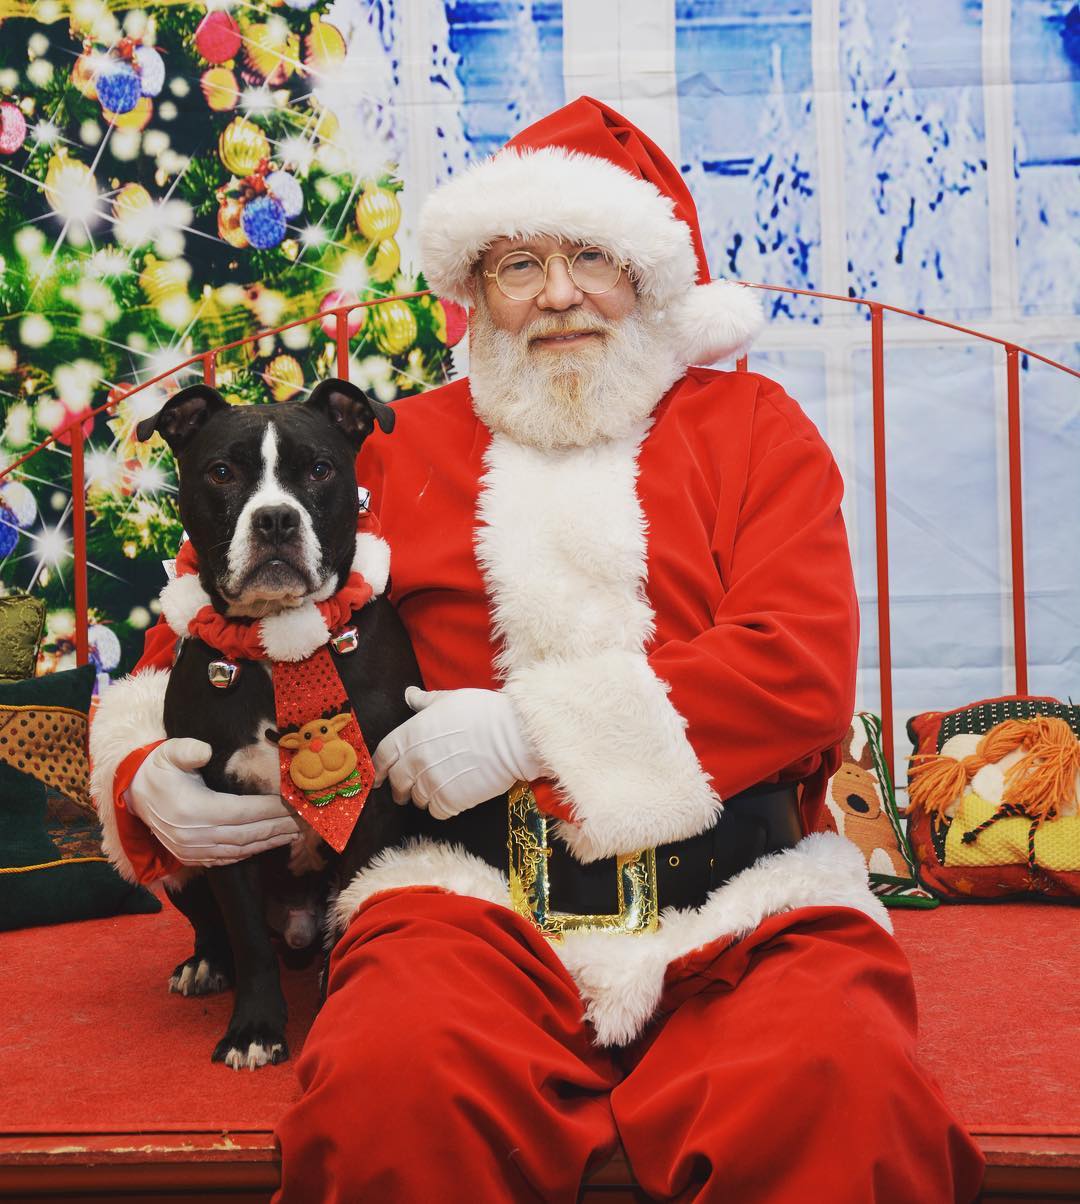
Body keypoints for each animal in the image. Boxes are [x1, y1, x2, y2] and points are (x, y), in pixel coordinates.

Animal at [135, 377, 421, 1069]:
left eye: (319, 470)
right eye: (221, 472)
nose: (275, 518)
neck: (275, 650)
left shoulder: (370, 813)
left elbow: (349, 914)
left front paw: (336, 1001)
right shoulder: (222, 820)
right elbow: (247, 940)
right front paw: (255, 1029)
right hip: (181, 851)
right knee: (215, 928)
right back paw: (205, 965)